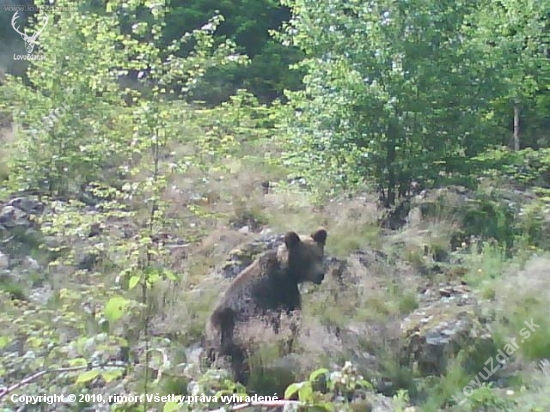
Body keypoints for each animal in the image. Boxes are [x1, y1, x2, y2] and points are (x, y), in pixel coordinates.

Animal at [206, 229, 328, 384]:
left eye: (319, 256)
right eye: (306, 259)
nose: (320, 274)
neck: (288, 272)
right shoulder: (283, 292)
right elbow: (291, 322)